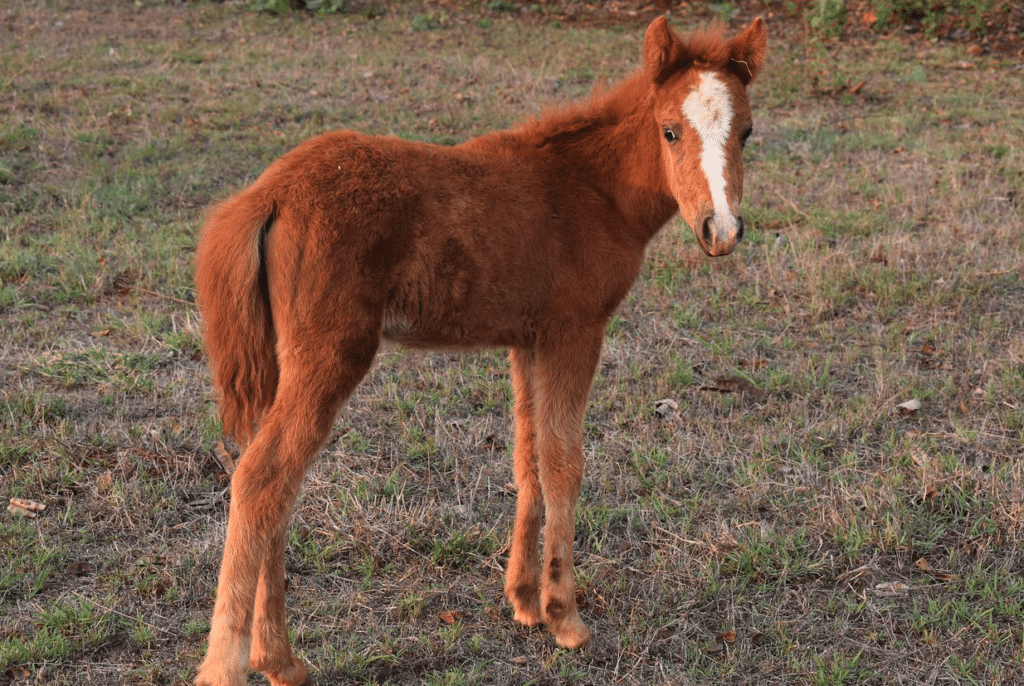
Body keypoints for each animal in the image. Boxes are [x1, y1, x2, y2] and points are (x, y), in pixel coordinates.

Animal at [195, 16, 765, 686]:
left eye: (747, 132)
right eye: (669, 130)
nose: (720, 231)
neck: (590, 188)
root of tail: (269, 193)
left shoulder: (527, 339)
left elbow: (528, 459)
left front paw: (523, 601)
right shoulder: (575, 331)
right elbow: (564, 463)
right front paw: (565, 618)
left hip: (286, 362)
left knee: (273, 488)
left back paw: (277, 658)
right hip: (330, 356)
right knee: (263, 478)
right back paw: (236, 663)